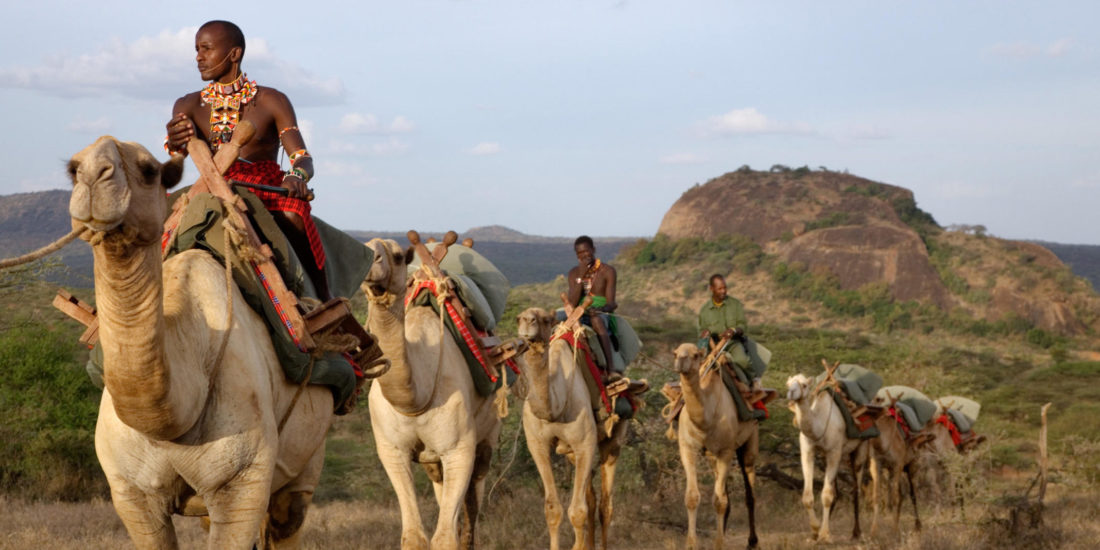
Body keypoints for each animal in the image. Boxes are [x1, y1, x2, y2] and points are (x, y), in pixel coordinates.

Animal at [68, 136, 334, 550]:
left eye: (149, 169)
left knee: (288, 517)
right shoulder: (131, 493)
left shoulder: (241, 483)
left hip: (305, 463)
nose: (94, 176)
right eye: (72, 169)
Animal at [365, 237, 510, 550]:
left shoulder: (459, 449)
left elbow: (445, 537)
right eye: (364, 246)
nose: (372, 263)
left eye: (397, 256)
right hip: (433, 459)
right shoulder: (392, 450)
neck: (415, 398)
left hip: (488, 435)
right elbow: (413, 536)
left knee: (473, 502)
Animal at [512, 310, 633, 550]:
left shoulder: (584, 444)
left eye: (545, 319)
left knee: (606, 505)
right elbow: (552, 509)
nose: (527, 322)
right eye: (520, 317)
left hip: (613, 440)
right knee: (592, 499)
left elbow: (577, 512)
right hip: (570, 453)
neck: (555, 406)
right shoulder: (538, 445)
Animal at [668, 341, 756, 547]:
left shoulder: (726, 450)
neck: (705, 420)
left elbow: (719, 501)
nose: (680, 361)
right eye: (676, 353)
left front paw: (719, 544)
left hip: (750, 441)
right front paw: (691, 544)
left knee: (750, 491)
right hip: (711, 456)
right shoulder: (687, 448)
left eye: (695, 355)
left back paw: (753, 541)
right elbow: (692, 497)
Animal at [787, 371, 871, 539]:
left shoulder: (834, 452)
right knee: (837, 491)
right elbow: (807, 496)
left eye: (804, 385)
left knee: (856, 489)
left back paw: (856, 532)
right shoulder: (807, 451)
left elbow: (826, 496)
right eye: (788, 384)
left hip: (861, 448)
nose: (791, 393)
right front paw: (815, 530)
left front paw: (825, 534)